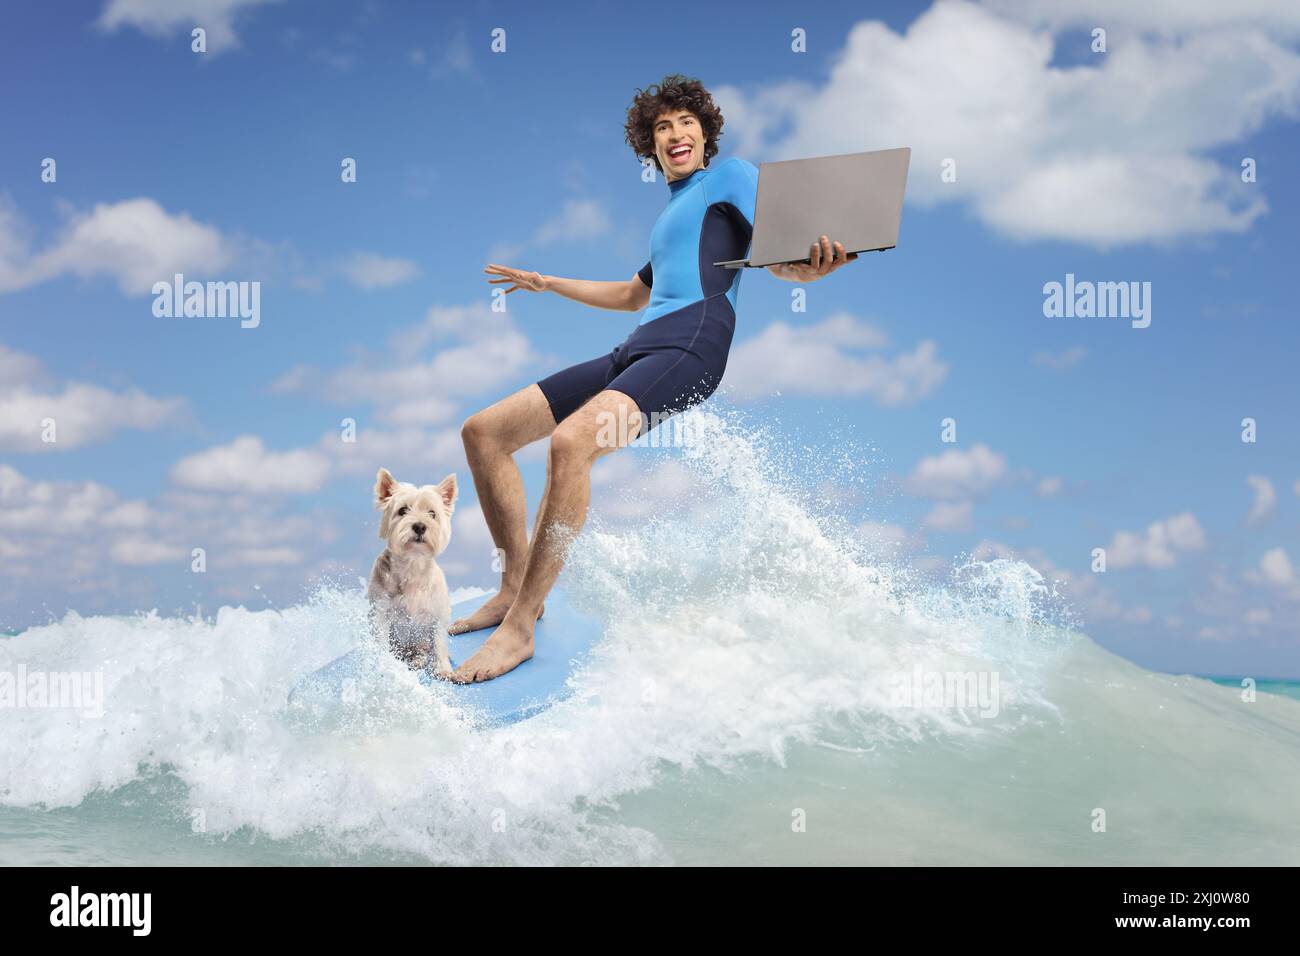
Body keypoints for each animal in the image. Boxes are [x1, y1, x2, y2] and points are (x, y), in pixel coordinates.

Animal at [369, 468, 460, 676]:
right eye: (402, 510)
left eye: (432, 513)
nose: (419, 526)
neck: (412, 564)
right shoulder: (381, 613)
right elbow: (382, 642)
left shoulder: (437, 614)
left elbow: (439, 643)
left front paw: (443, 669)